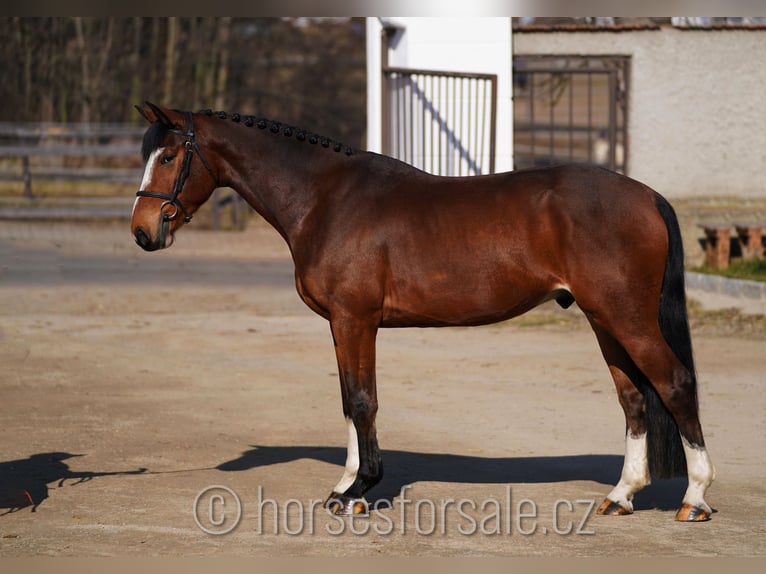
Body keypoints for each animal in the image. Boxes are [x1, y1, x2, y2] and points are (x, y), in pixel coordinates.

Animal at [130, 102, 712, 520]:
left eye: (168, 157)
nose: (142, 231)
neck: (325, 199)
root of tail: (646, 195)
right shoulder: (342, 325)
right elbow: (348, 402)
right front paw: (346, 484)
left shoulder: (356, 319)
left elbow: (363, 401)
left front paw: (360, 491)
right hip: (604, 319)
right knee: (634, 399)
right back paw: (622, 495)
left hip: (627, 318)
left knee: (675, 384)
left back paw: (695, 499)